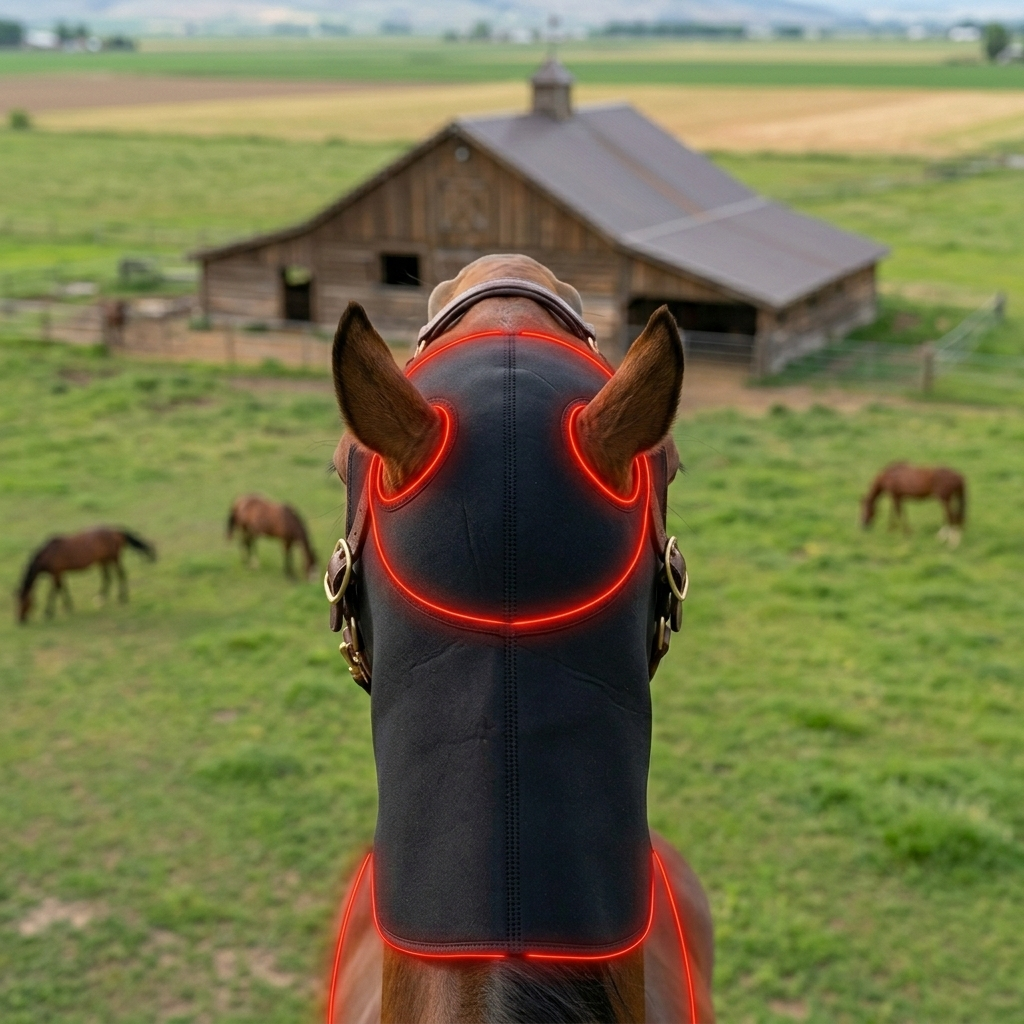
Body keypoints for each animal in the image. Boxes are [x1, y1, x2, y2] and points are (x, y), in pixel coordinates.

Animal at [16, 527, 156, 624]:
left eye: (24, 602)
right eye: (16, 601)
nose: (20, 621)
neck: (49, 553)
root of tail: (117, 532)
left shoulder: (55, 574)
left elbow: (53, 592)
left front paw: (48, 613)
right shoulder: (60, 573)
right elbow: (63, 589)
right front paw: (69, 606)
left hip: (114, 559)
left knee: (121, 575)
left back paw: (122, 598)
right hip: (103, 561)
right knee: (107, 577)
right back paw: (101, 598)